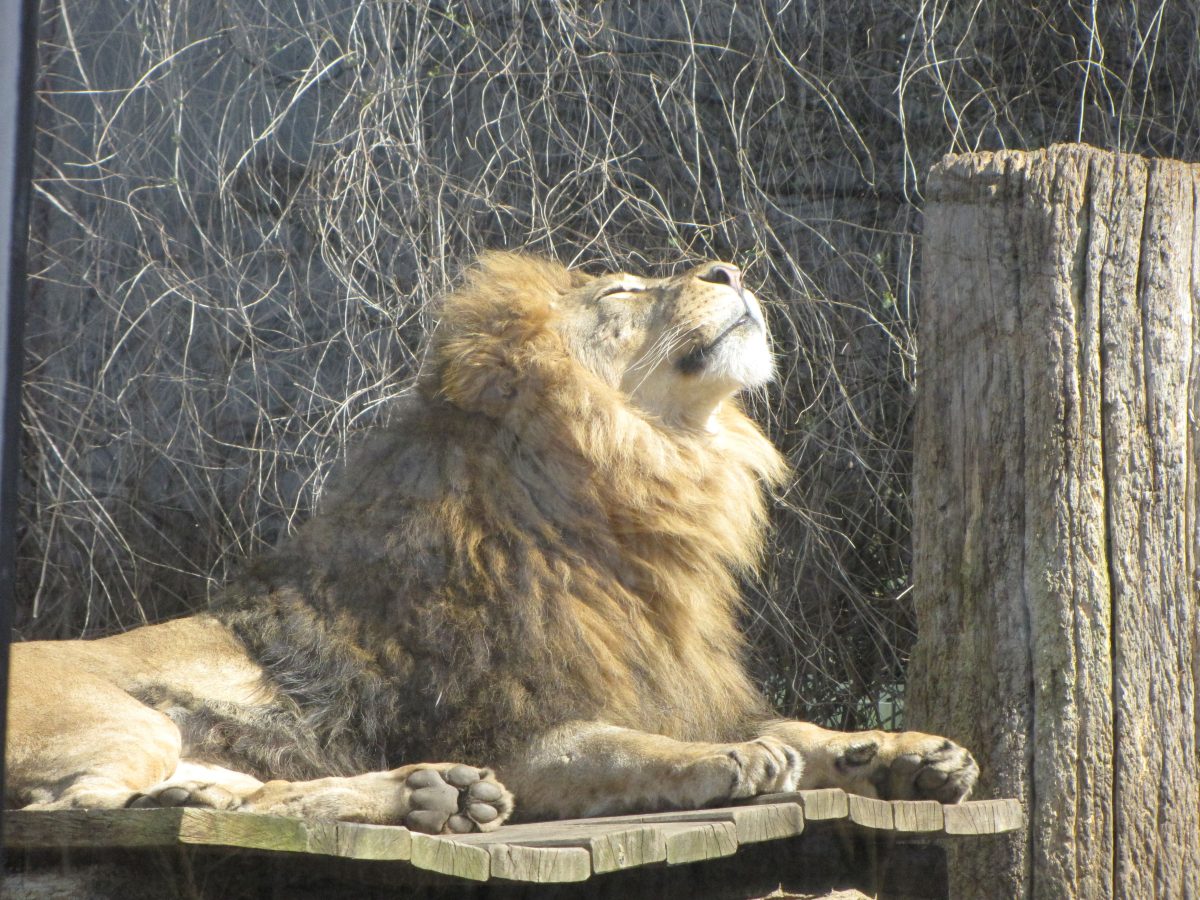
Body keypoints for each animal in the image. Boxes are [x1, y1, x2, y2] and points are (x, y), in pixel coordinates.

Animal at [4, 252, 979, 830]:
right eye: (622, 291)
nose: (728, 267)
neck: (654, 481)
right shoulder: (508, 728)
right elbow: (613, 743)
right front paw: (722, 759)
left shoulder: (675, 682)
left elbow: (796, 723)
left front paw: (898, 754)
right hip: (117, 718)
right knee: (73, 807)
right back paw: (211, 792)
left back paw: (423, 794)